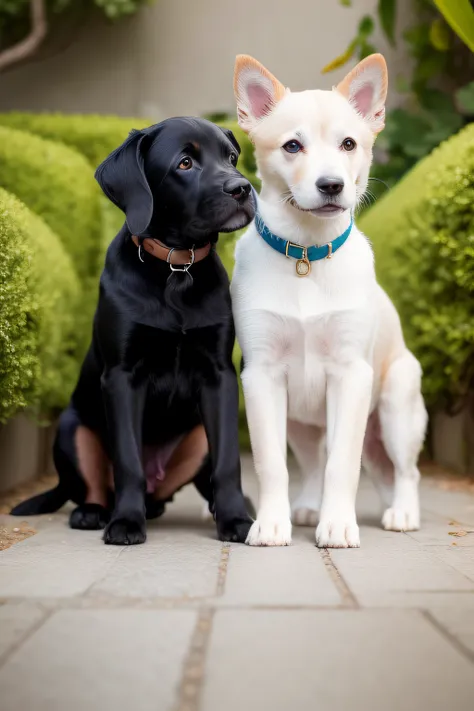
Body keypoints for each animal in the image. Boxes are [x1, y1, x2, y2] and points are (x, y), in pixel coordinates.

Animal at [11, 117, 256, 544]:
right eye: (185, 163)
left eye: (230, 157)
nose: (242, 188)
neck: (177, 268)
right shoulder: (122, 376)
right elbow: (127, 460)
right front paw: (126, 522)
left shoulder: (219, 375)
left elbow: (228, 462)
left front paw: (235, 520)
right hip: (72, 428)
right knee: (93, 487)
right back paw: (96, 513)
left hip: (196, 437)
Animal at [231, 52, 428, 548]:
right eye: (292, 146)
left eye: (348, 143)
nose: (332, 185)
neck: (306, 255)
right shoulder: (262, 377)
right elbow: (272, 464)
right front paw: (272, 523)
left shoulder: (351, 375)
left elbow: (343, 463)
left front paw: (338, 524)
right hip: (301, 422)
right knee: (313, 463)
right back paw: (305, 506)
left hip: (397, 406)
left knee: (405, 471)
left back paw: (402, 512)